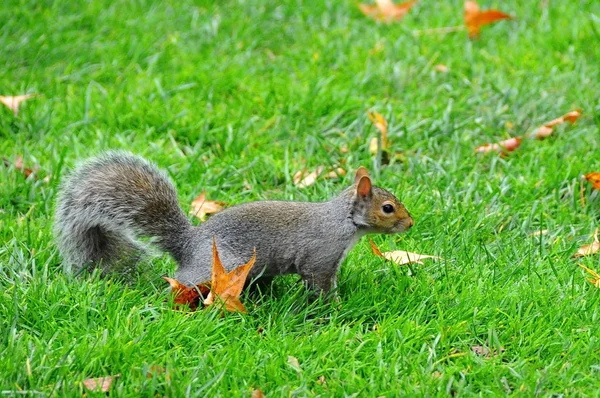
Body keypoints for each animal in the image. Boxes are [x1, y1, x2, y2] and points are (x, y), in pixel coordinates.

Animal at [54, 152, 412, 296]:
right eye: (388, 208)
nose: (409, 223)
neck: (343, 222)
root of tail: (188, 244)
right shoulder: (320, 257)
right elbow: (320, 284)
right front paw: (334, 307)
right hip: (218, 265)